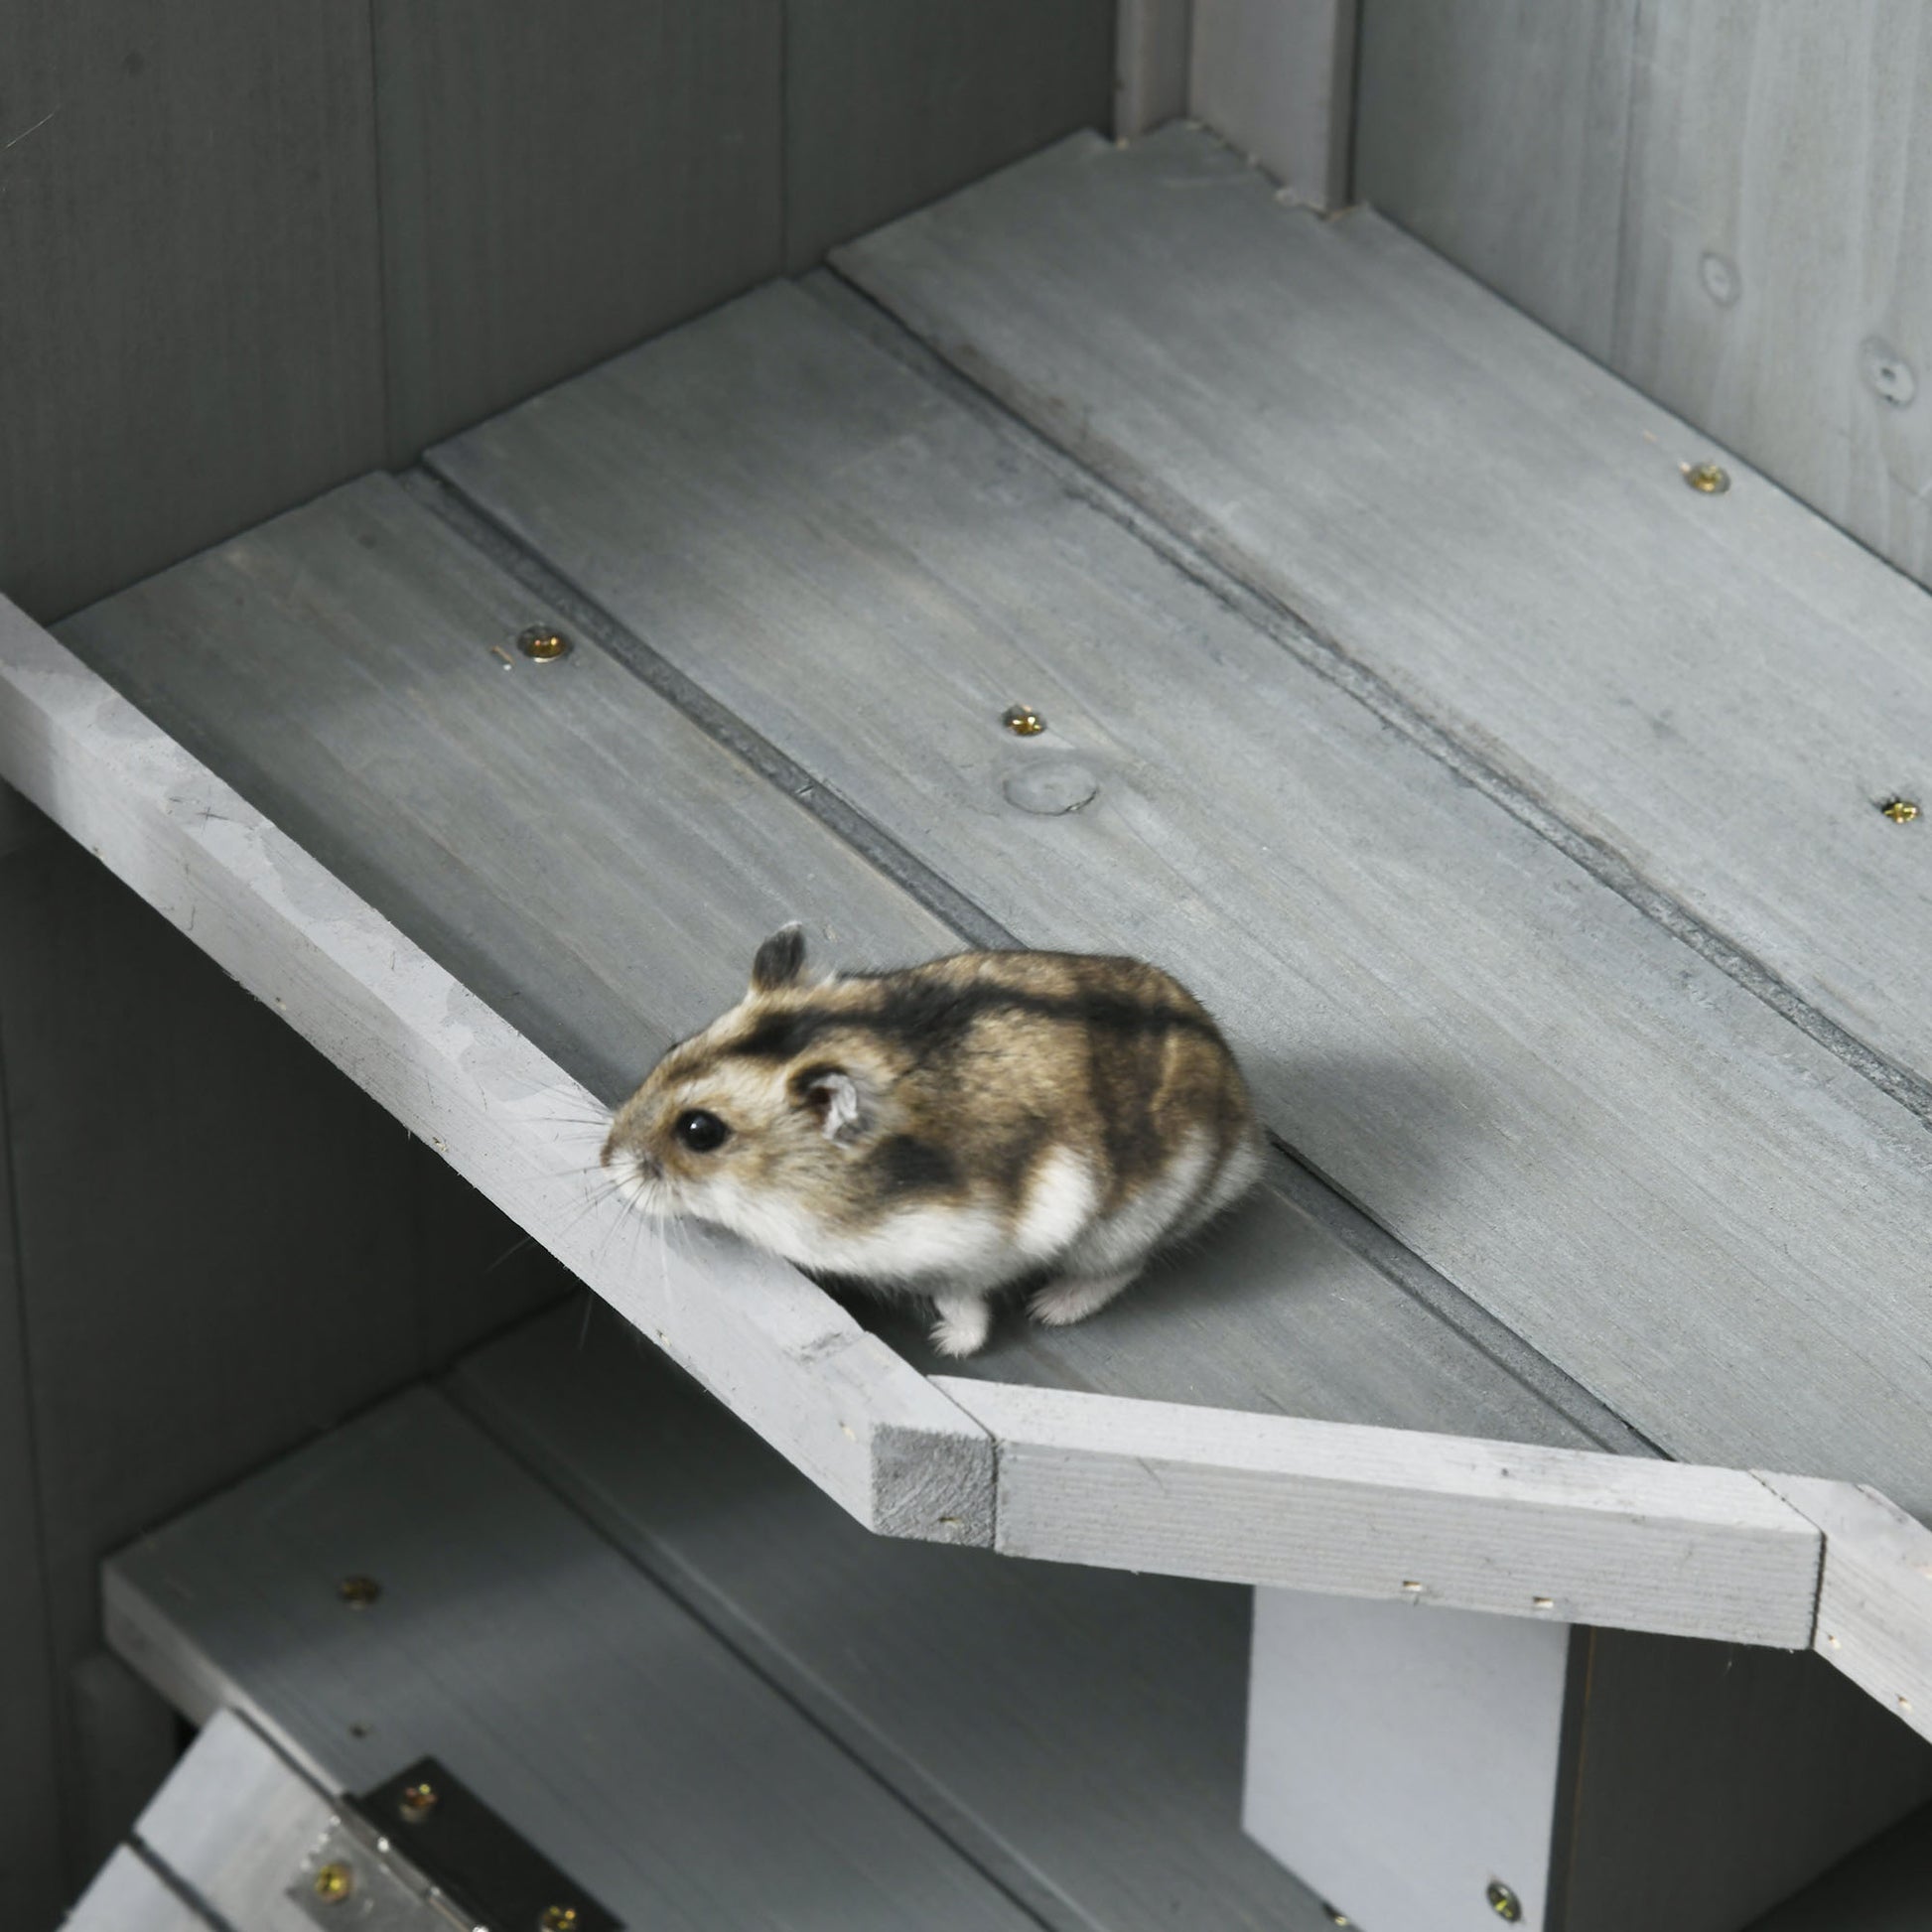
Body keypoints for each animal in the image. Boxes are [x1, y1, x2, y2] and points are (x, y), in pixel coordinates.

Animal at [603, 923, 1267, 1359]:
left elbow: (964, 1304)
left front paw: (947, 1343)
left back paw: (1051, 1308)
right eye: (672, 1049)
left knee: (1125, 1267)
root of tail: (1245, 1131)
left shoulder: (962, 1251)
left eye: (700, 1132)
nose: (605, 1163)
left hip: (1121, 1229)